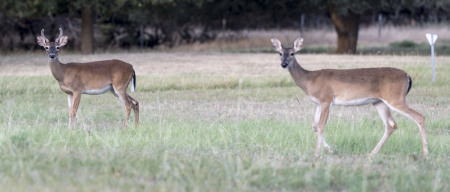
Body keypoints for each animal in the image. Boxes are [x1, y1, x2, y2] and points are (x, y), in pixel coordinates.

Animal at [270, 38, 428, 158]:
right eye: (279, 53)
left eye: (292, 53)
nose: (283, 64)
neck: (310, 80)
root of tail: (408, 76)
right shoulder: (318, 103)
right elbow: (314, 126)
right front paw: (331, 150)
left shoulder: (327, 99)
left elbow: (321, 126)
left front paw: (316, 153)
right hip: (379, 102)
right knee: (391, 125)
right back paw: (372, 153)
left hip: (396, 98)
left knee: (420, 117)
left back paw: (425, 153)